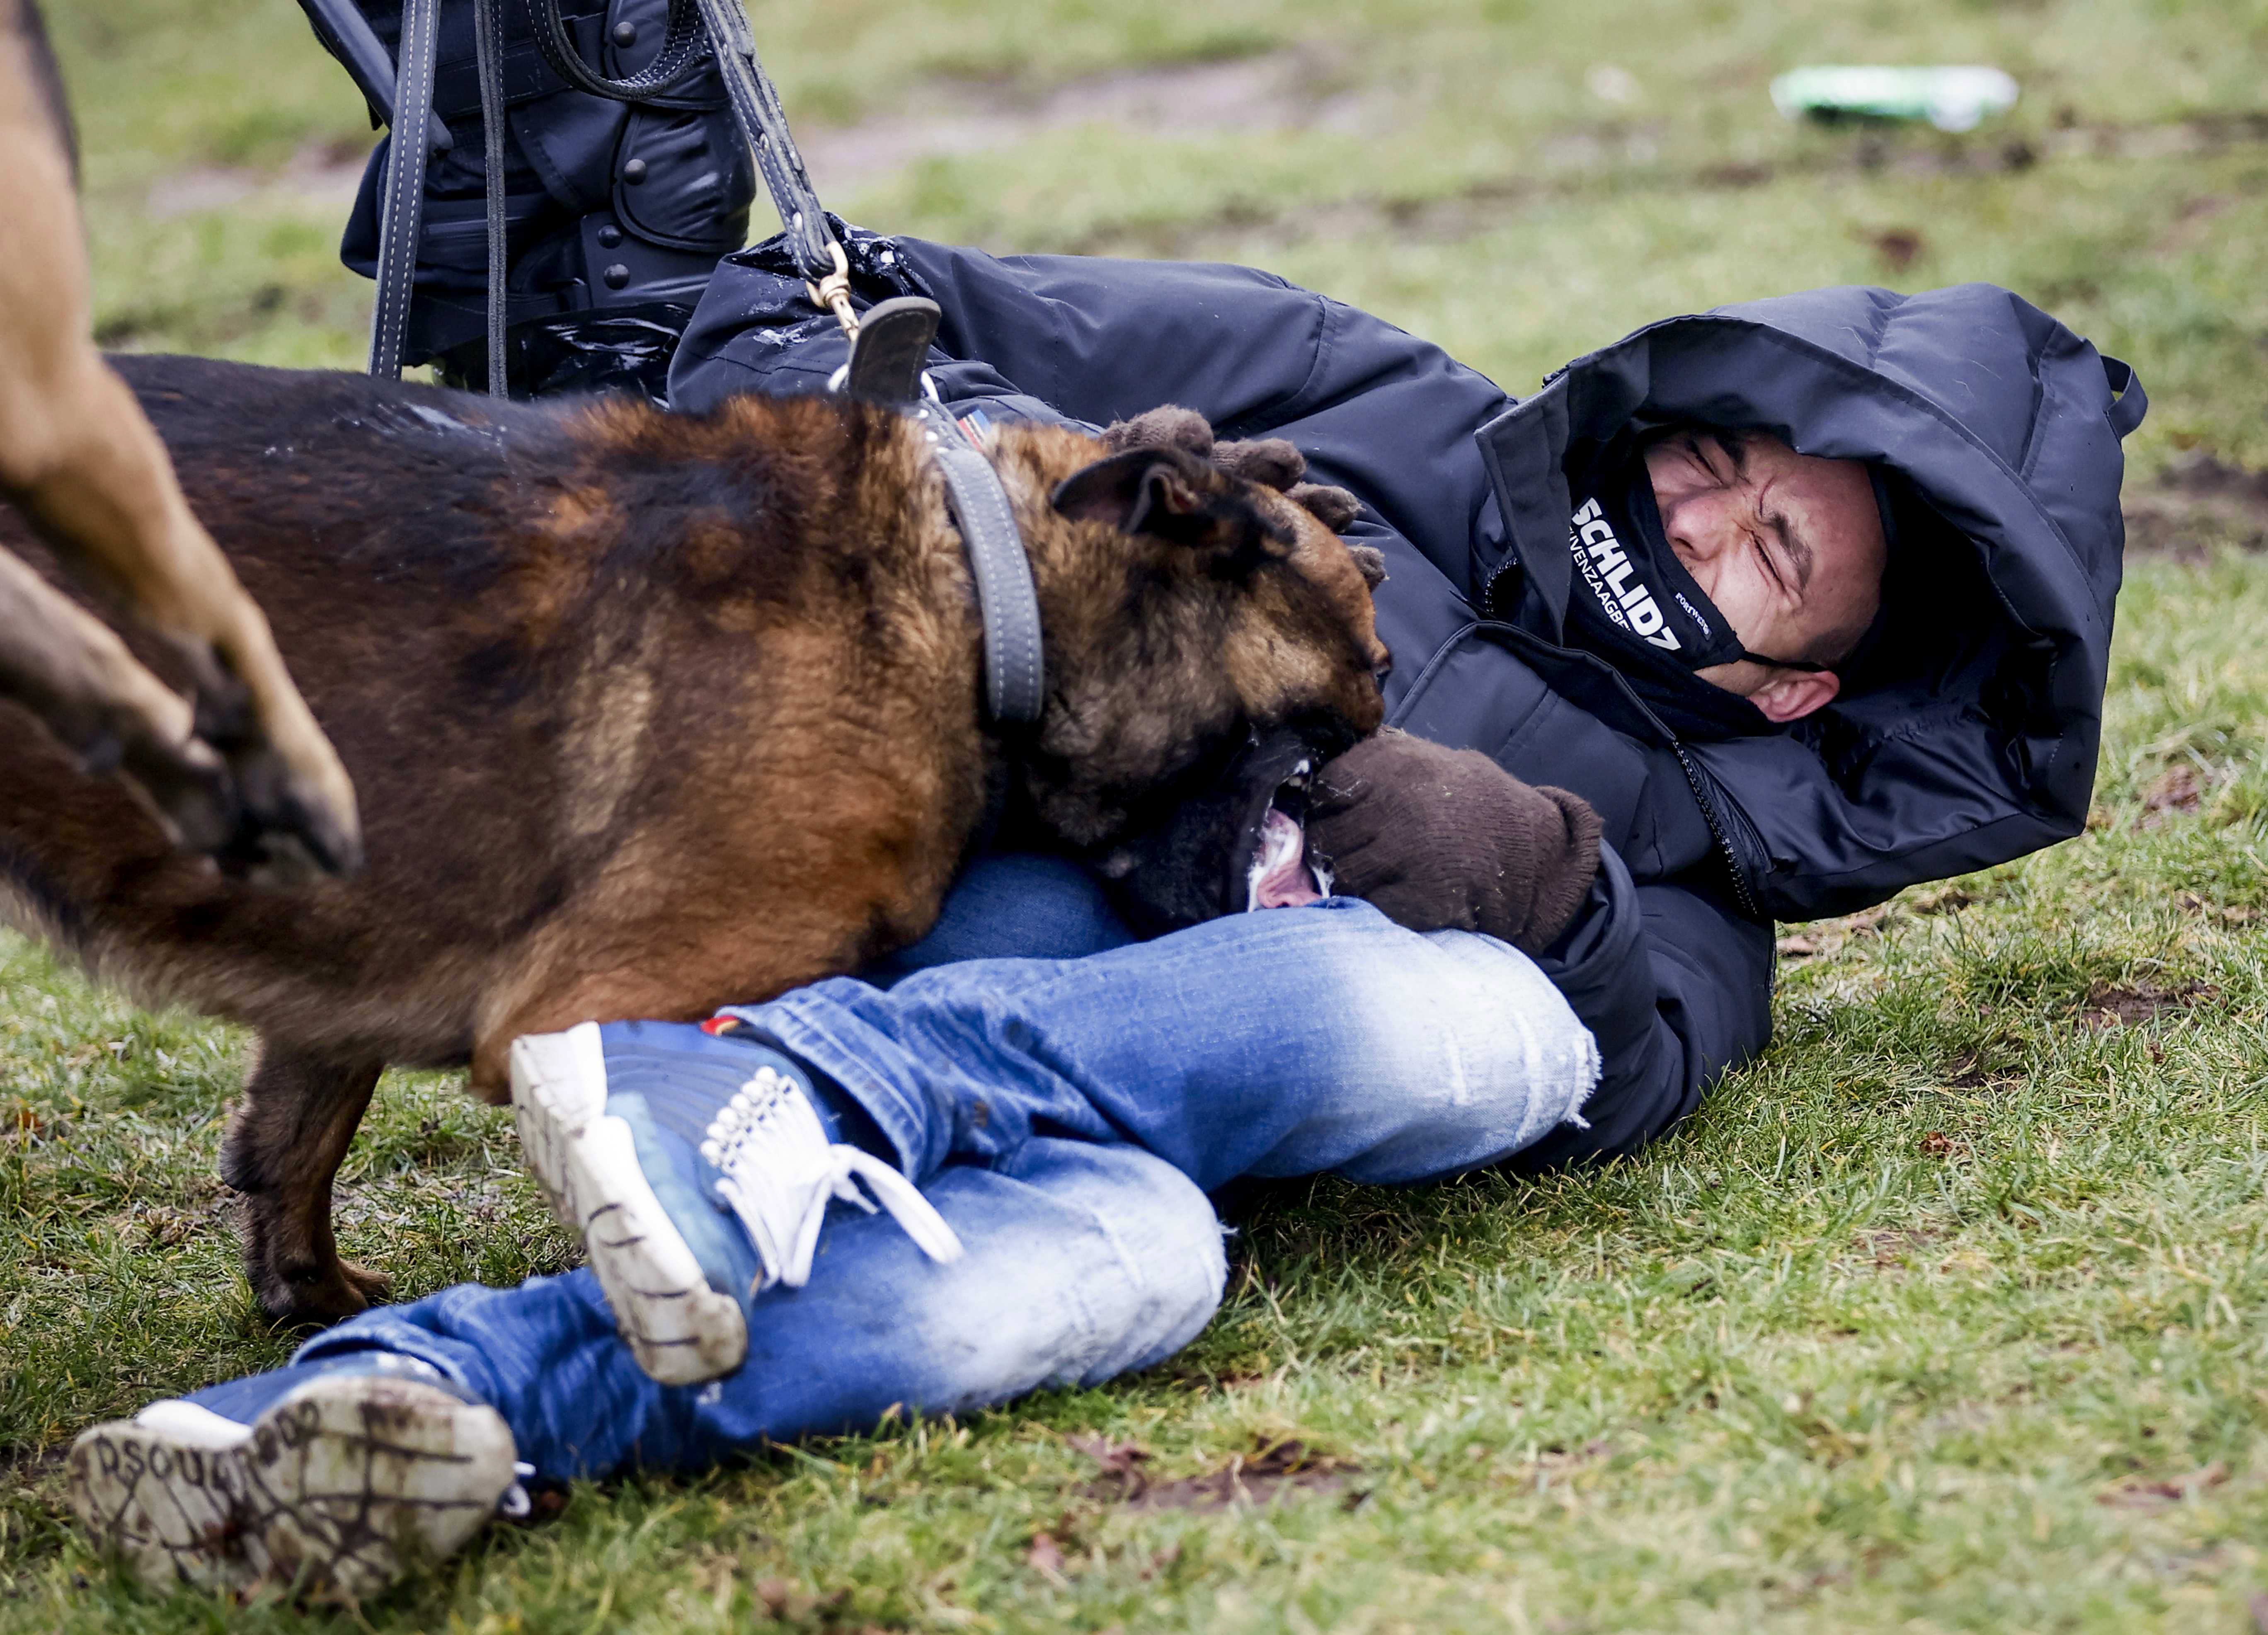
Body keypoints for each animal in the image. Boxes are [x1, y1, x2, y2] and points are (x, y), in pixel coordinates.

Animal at [0, 358, 1379, 1324]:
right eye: (1370, 661)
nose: (1363, 783)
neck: (980, 593)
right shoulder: (604, 998)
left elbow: (296, 1129)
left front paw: (310, 1297)